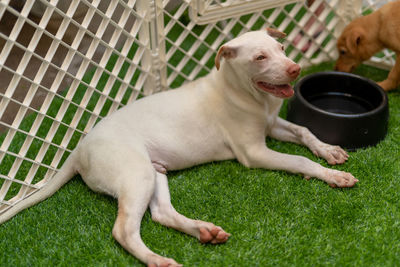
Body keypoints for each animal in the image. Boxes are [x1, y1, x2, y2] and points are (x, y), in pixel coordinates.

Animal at [0, 28, 356, 266]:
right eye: (259, 57)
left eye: (282, 47)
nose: (296, 69)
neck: (245, 92)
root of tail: (78, 150)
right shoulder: (254, 152)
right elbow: (298, 160)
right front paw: (329, 174)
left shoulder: (272, 126)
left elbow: (304, 131)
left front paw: (330, 151)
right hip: (136, 175)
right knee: (124, 230)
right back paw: (158, 259)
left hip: (154, 171)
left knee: (161, 213)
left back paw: (203, 231)